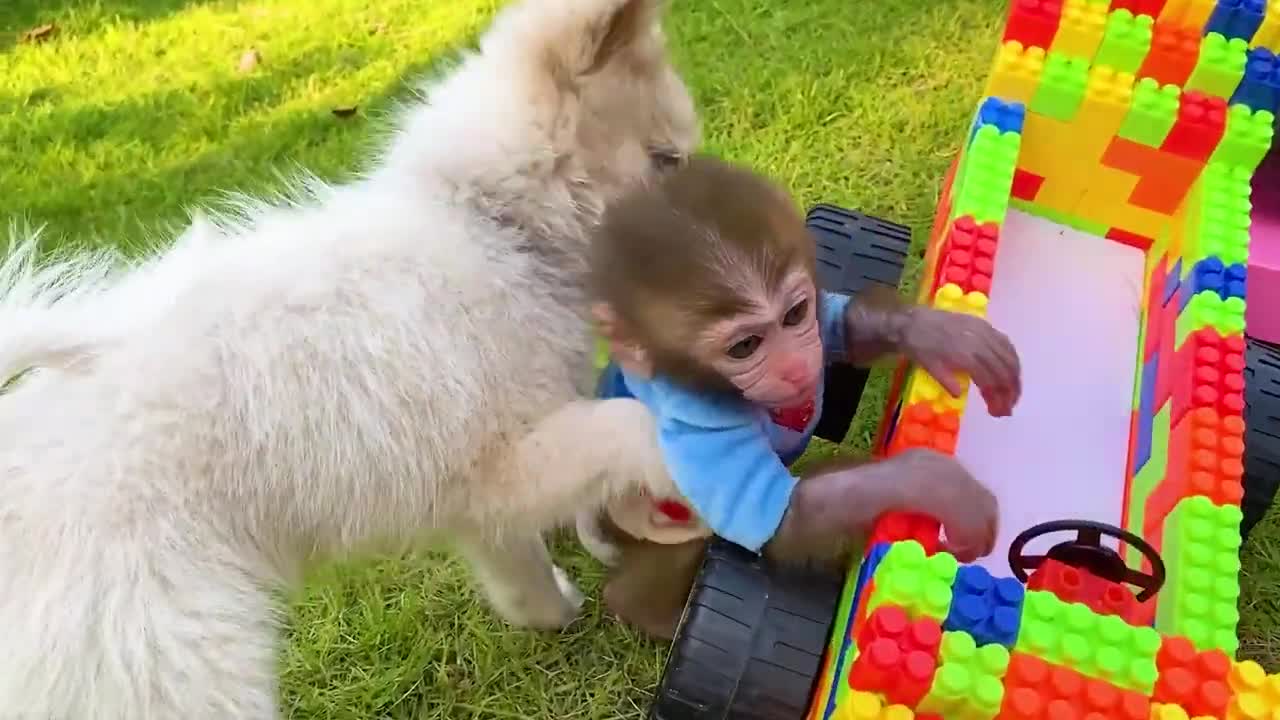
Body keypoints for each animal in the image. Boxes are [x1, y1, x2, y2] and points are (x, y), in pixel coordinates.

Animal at [0, 0, 701, 712]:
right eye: (666, 159)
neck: (493, 224)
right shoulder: (501, 458)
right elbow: (623, 427)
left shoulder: (480, 489)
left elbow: (519, 572)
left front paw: (562, 597)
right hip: (172, 661)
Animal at [586, 154, 1024, 635]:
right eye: (745, 347)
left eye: (794, 315)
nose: (796, 366)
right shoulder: (696, 421)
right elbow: (781, 518)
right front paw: (928, 481)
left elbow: (834, 327)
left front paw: (934, 333)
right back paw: (647, 612)